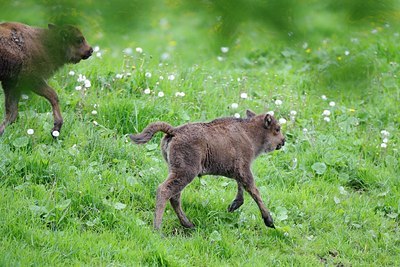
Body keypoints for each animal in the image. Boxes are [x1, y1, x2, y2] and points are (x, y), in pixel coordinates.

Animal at [130, 110, 286, 231]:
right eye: (277, 129)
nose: (283, 141)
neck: (249, 132)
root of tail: (174, 131)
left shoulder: (239, 171)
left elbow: (241, 187)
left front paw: (233, 206)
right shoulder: (245, 169)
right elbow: (254, 191)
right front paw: (269, 221)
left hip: (176, 171)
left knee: (174, 196)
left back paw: (189, 224)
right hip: (186, 173)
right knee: (164, 191)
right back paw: (158, 229)